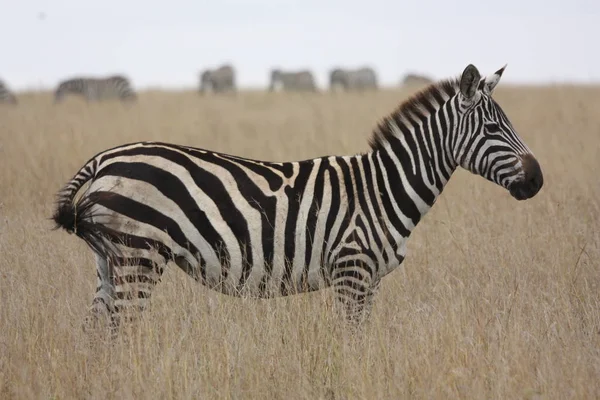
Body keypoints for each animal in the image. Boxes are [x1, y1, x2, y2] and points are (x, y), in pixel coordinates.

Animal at [54, 63, 544, 334]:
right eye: (493, 128)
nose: (538, 181)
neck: (384, 188)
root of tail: (102, 159)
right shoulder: (352, 273)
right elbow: (351, 345)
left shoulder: (370, 282)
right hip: (139, 256)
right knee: (120, 332)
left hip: (110, 260)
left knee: (95, 333)